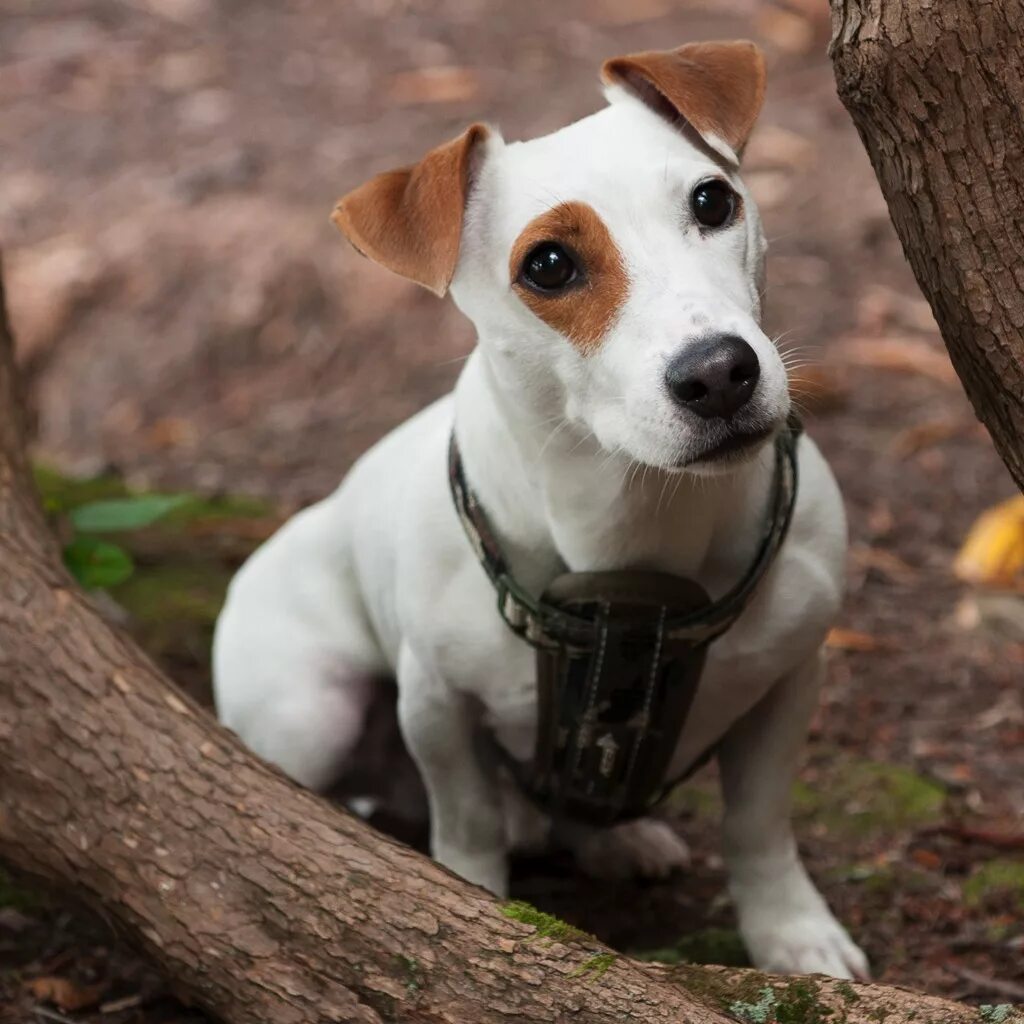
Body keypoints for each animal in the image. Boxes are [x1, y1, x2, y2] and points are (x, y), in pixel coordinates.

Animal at [211, 39, 868, 978]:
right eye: (549, 266)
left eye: (713, 201)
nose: (719, 373)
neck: (635, 525)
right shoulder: (437, 708)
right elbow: (469, 831)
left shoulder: (787, 682)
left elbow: (758, 827)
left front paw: (790, 932)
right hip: (312, 713)